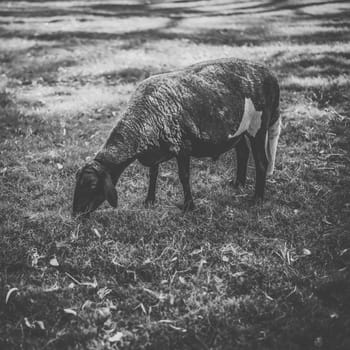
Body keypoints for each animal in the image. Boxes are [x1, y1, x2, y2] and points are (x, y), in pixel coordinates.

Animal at [72, 57, 280, 216]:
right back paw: (238, 183)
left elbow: (184, 176)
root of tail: (269, 74)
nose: (76, 214)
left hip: (258, 126)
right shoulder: (154, 151)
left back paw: (257, 198)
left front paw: (189, 206)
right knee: (242, 152)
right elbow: (153, 174)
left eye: (92, 184)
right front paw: (149, 200)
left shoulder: (182, 147)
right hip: (238, 130)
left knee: (262, 161)